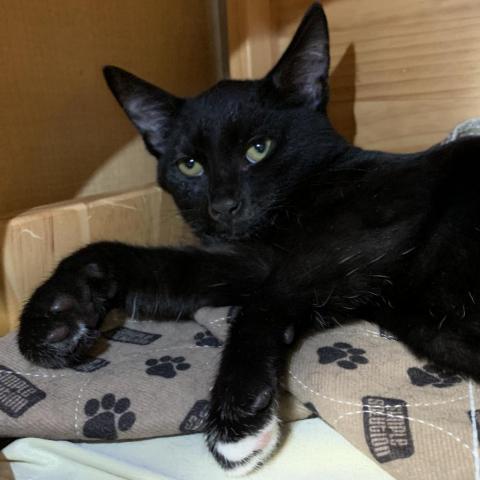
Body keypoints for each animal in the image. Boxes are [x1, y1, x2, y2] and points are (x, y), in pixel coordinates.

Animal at [18, 2, 480, 475]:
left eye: (259, 149)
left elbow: (265, 299)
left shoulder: (370, 230)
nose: (223, 205)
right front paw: (56, 314)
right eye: (189, 165)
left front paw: (235, 418)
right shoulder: (250, 259)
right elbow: (147, 264)